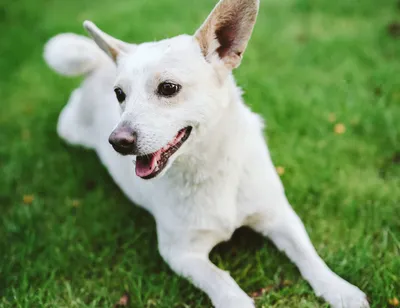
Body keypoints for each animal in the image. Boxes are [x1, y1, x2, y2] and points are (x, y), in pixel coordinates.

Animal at [43, 1, 368, 306]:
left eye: (168, 88)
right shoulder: (181, 253)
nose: (117, 141)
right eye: (119, 95)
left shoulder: (280, 216)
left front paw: (339, 289)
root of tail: (98, 64)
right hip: (69, 129)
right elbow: (223, 282)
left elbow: (309, 256)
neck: (210, 167)